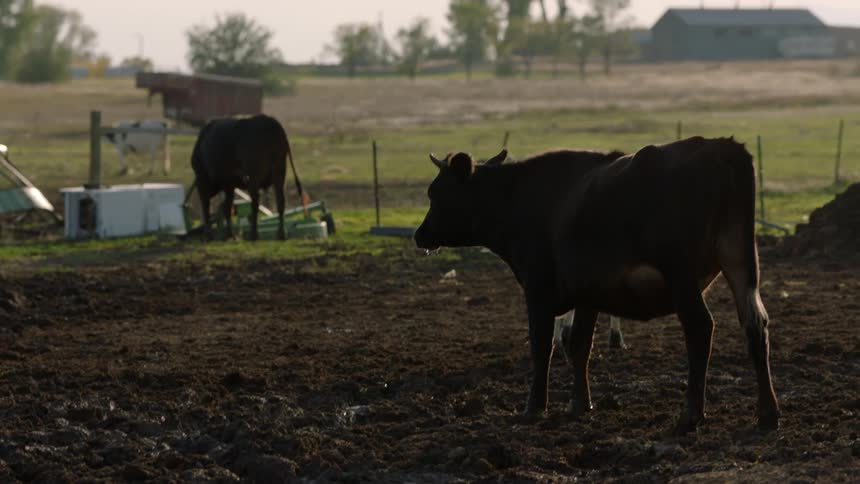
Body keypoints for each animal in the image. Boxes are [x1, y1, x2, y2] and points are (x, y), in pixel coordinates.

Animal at [414, 137, 780, 434]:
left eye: (436, 192)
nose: (420, 234)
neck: (519, 199)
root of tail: (722, 148)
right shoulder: (588, 295)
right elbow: (578, 344)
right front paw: (580, 404)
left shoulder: (538, 291)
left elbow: (541, 347)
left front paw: (534, 408)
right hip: (741, 264)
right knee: (755, 325)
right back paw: (768, 413)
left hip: (683, 279)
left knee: (701, 329)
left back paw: (690, 415)